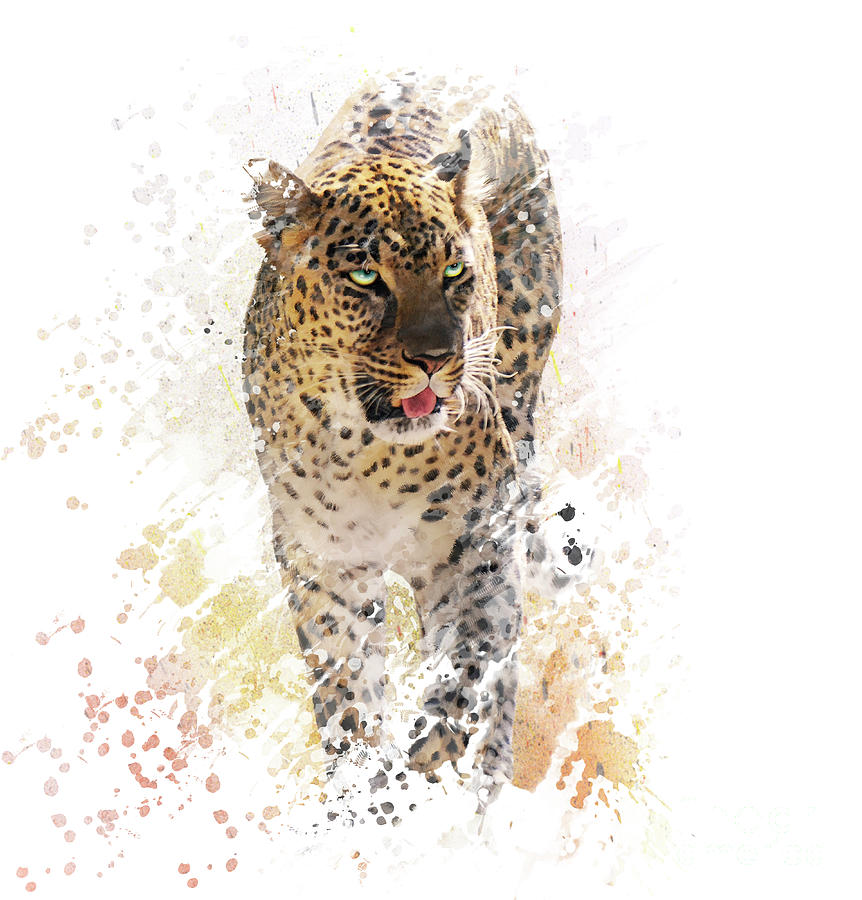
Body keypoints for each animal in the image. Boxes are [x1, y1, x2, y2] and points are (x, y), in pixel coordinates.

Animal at [242, 71, 562, 809]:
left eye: (454, 272)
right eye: (366, 278)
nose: (437, 357)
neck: (371, 457)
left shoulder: (480, 542)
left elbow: (470, 664)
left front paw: (431, 762)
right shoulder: (323, 563)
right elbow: (345, 696)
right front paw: (366, 800)